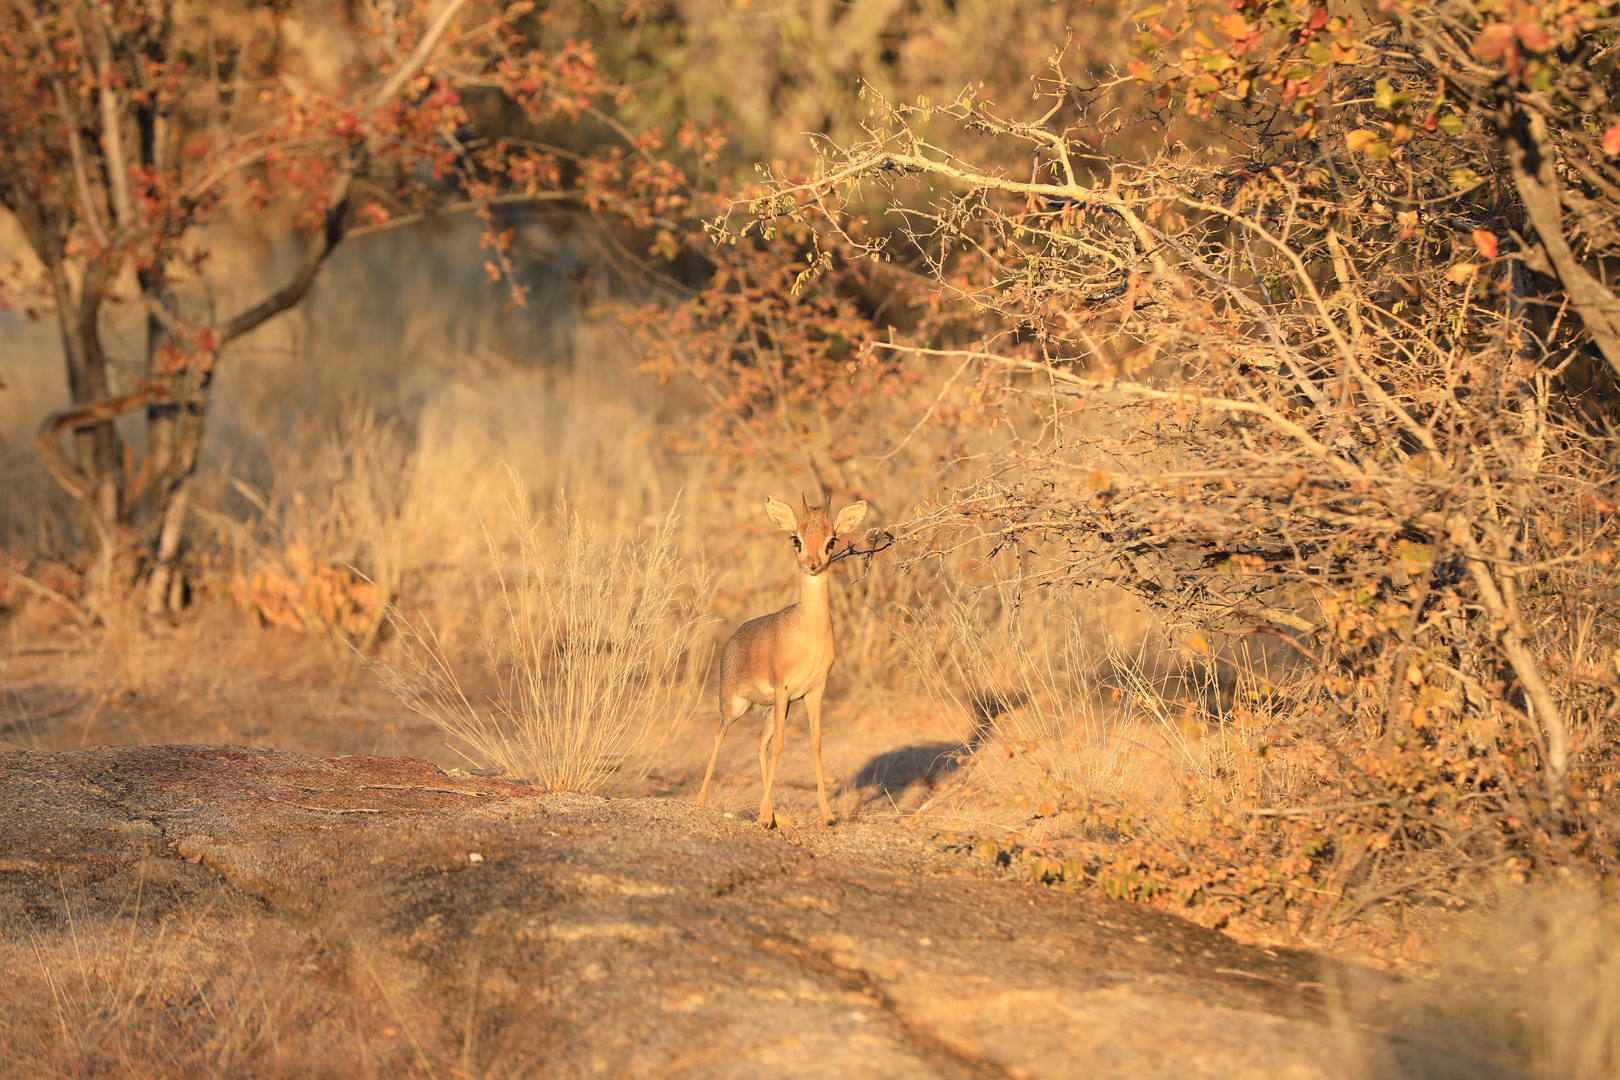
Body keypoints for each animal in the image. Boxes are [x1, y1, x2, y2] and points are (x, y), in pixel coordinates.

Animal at [696, 495, 874, 829]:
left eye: (831, 540)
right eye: (796, 539)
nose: (813, 565)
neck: (809, 633)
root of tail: (732, 639)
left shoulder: (814, 692)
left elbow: (816, 745)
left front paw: (828, 815)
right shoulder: (783, 688)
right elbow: (781, 745)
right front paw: (765, 818)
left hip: (770, 710)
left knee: (759, 741)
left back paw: (771, 814)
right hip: (734, 706)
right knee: (719, 733)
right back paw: (701, 802)